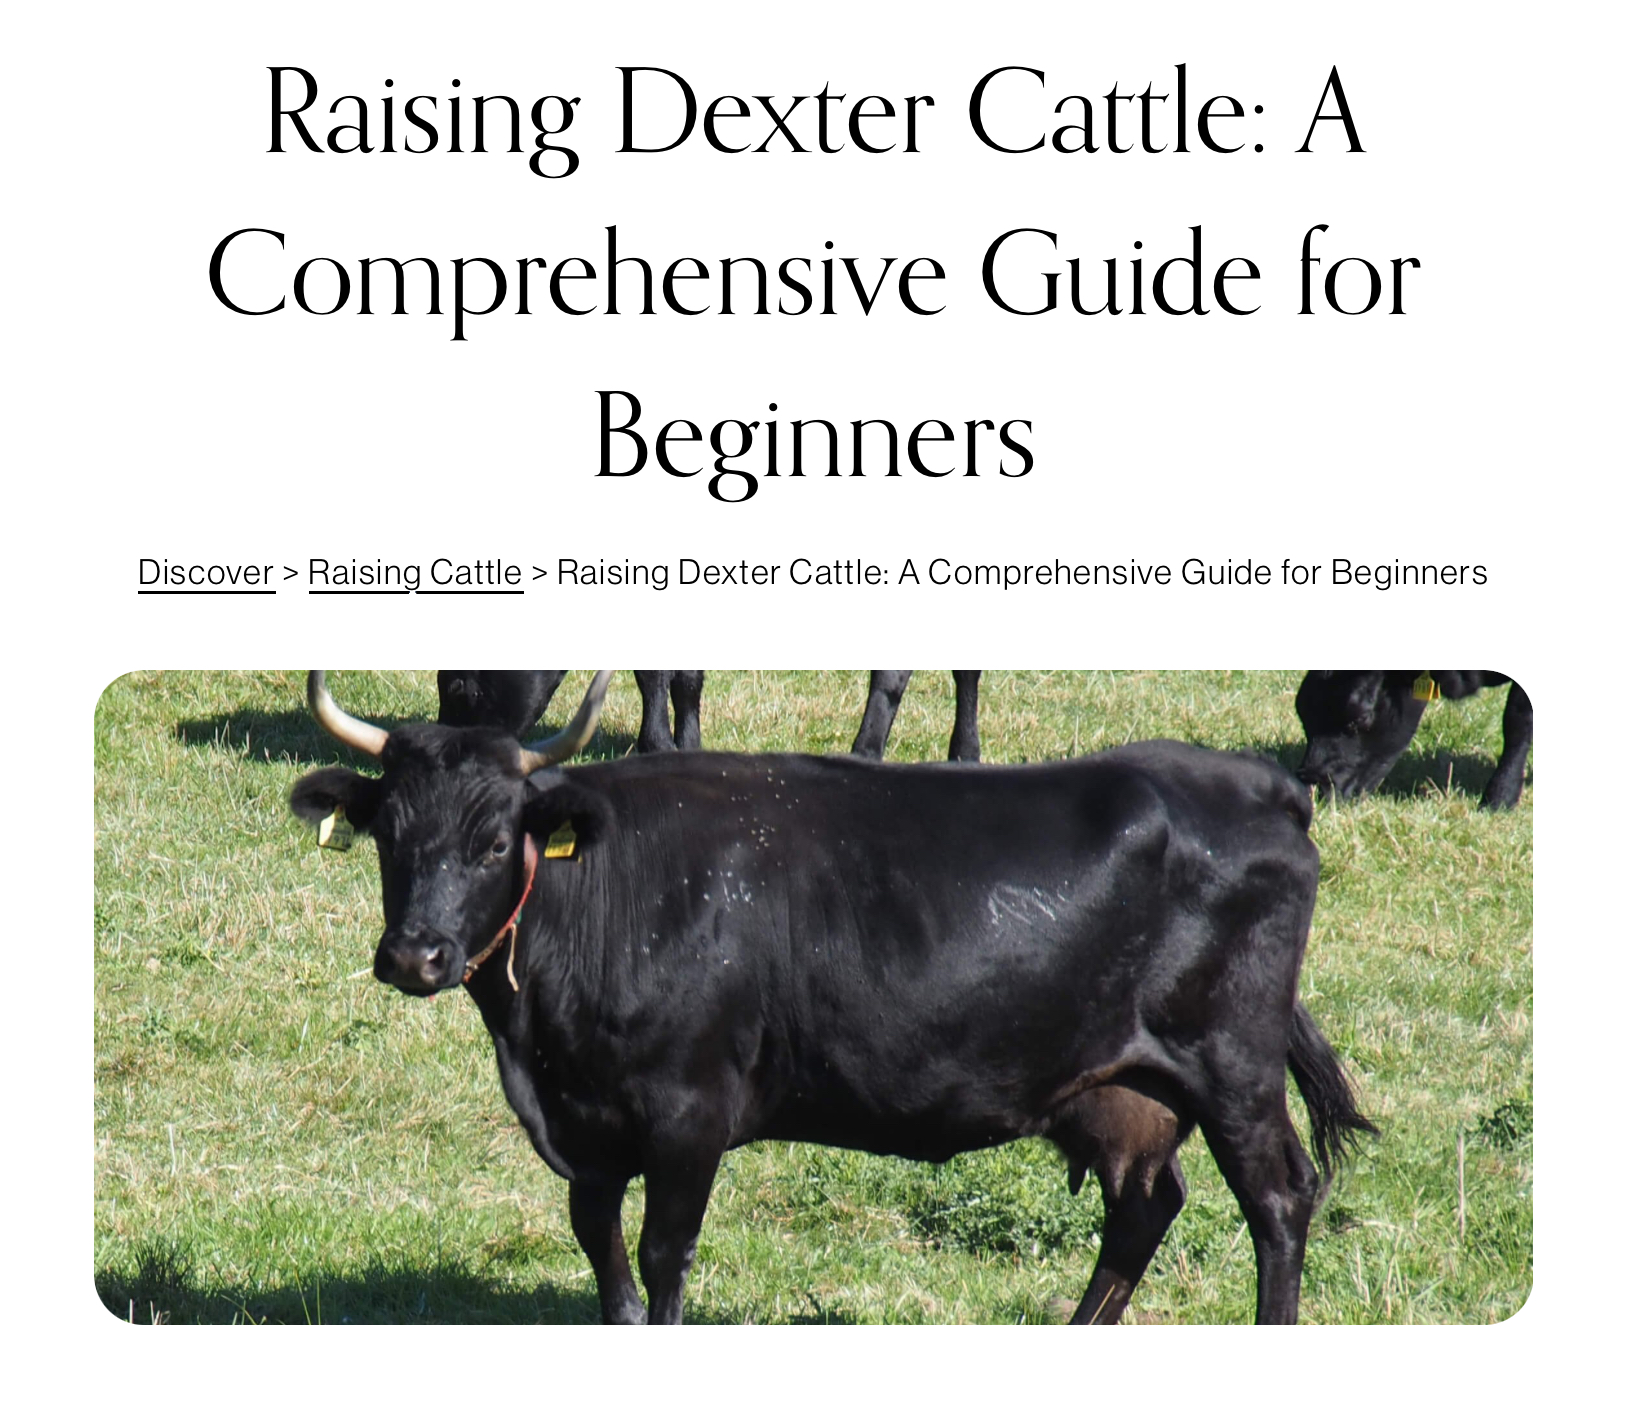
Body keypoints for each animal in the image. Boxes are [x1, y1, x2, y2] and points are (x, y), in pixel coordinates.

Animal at [291, 669, 1374, 1325]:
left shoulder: (688, 1116)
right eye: (388, 834)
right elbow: (605, 1262)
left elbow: (662, 1256)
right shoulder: (588, 1135)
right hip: (1120, 1085)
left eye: (492, 841)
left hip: (1230, 1061)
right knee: (1144, 1203)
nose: (414, 956)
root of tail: (1259, 784)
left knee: (1278, 1197)